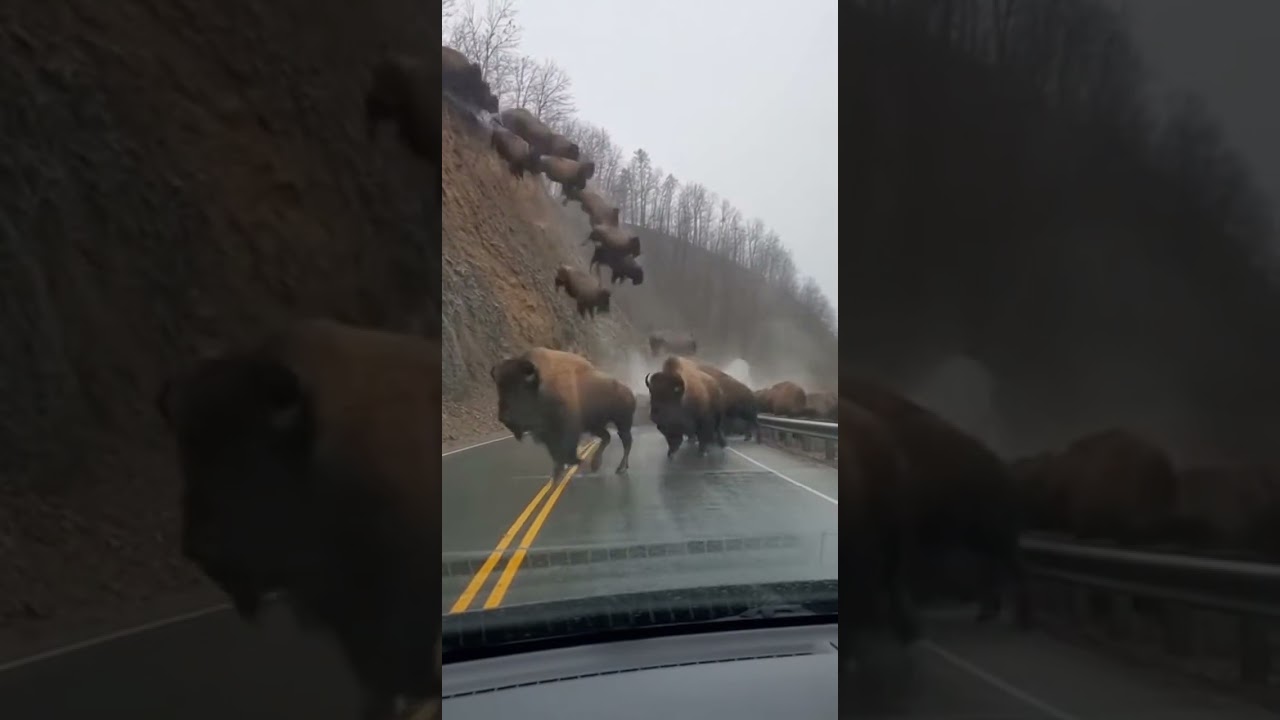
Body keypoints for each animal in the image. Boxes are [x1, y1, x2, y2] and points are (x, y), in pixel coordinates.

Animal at [491, 348, 636, 476]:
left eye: (519, 389)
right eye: (499, 388)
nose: (503, 418)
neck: (541, 385)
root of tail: (629, 392)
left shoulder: (567, 429)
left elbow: (567, 451)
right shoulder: (548, 434)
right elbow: (557, 454)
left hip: (622, 424)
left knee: (626, 442)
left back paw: (621, 468)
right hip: (595, 426)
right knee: (607, 437)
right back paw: (597, 464)